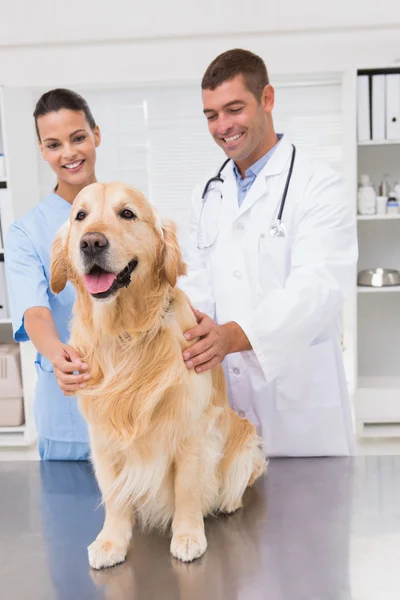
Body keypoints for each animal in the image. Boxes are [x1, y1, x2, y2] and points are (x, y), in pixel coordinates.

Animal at [50, 182, 268, 568]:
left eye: (127, 213)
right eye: (80, 216)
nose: (91, 242)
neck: (126, 335)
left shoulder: (191, 433)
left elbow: (187, 490)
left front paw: (188, 536)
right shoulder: (103, 439)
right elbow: (114, 496)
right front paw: (111, 542)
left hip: (246, 443)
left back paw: (228, 501)